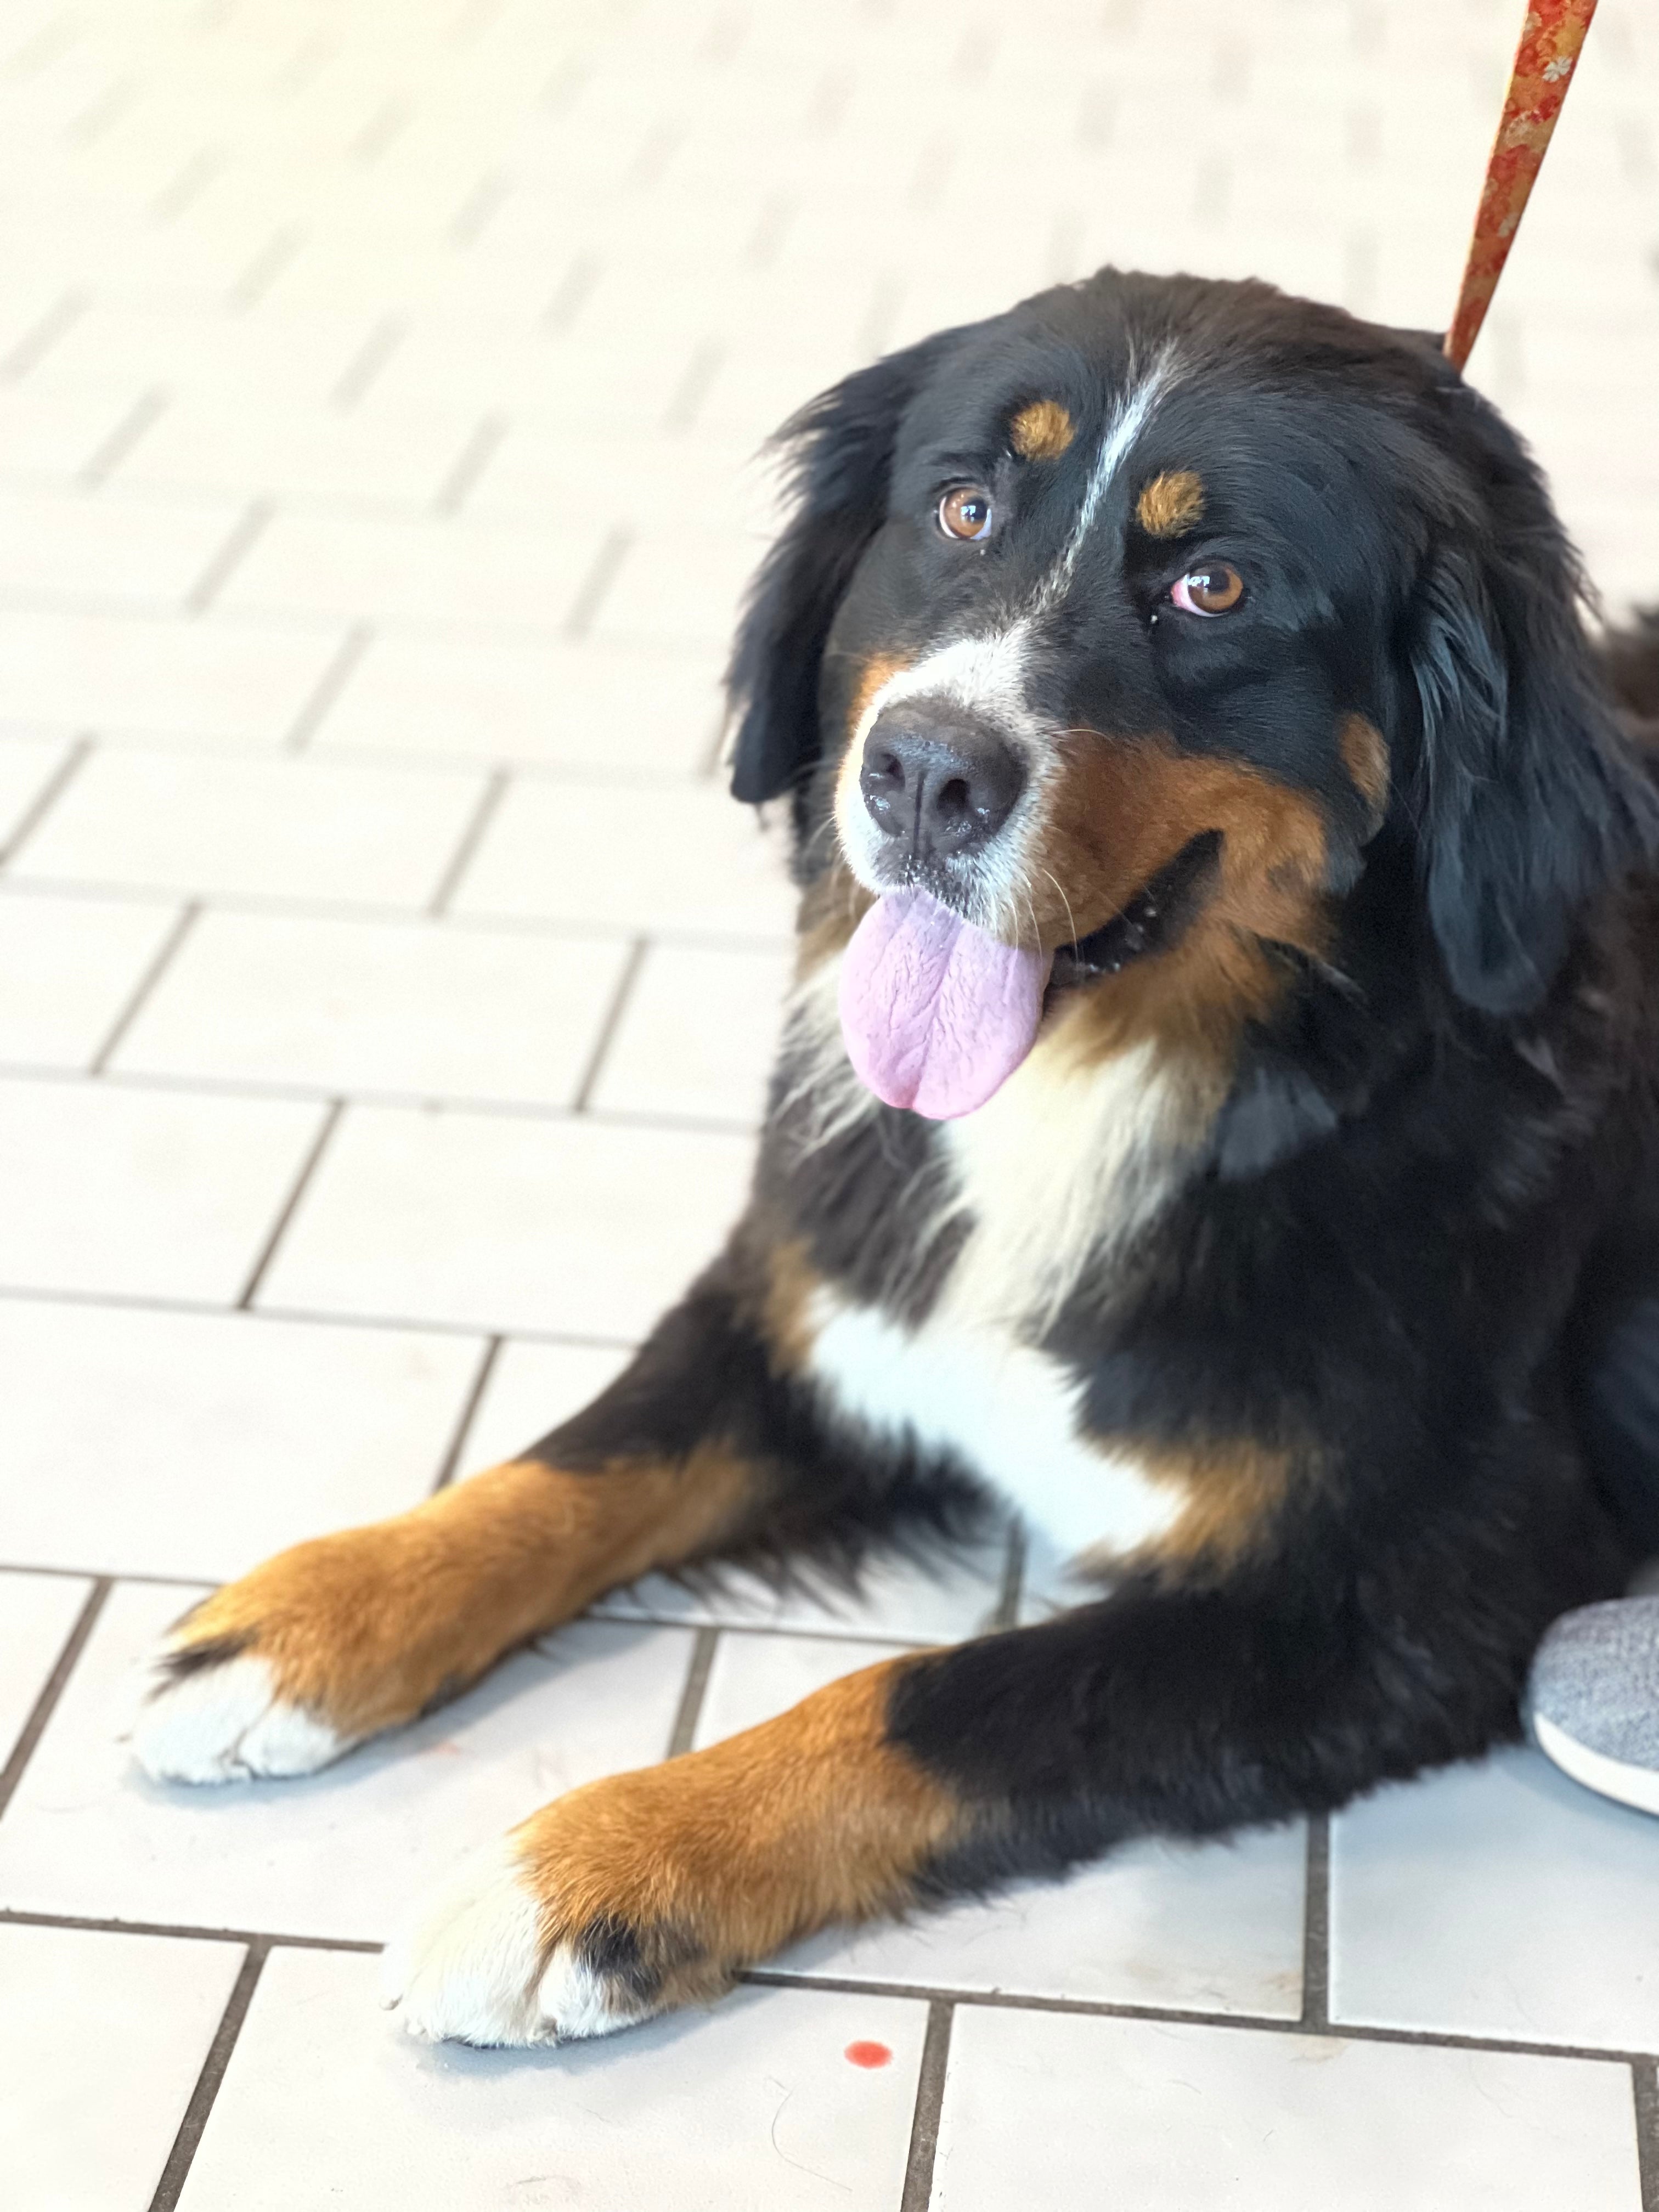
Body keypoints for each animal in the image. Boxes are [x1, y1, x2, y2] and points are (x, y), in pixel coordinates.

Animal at [136, 267, 1659, 2044]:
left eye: (1211, 585)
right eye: (964, 507)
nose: (928, 773)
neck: (1161, 1085)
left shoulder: (1395, 1596)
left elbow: (923, 1702)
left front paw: (588, 1870)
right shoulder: (824, 1287)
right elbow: (582, 1462)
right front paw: (305, 1623)